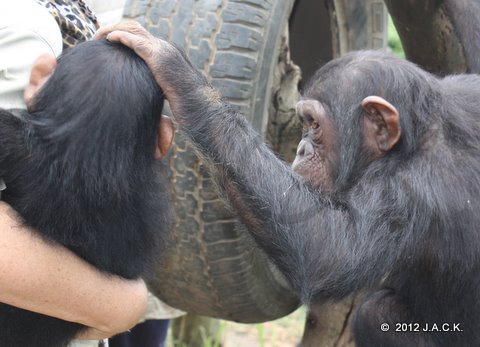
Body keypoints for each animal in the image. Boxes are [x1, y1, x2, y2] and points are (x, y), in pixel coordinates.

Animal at [101, 23, 480, 346]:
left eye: (314, 124)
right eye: (304, 124)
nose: (300, 148)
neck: (417, 138)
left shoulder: (402, 191)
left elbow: (327, 252)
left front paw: (174, 70)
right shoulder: (467, 92)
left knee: (374, 313)